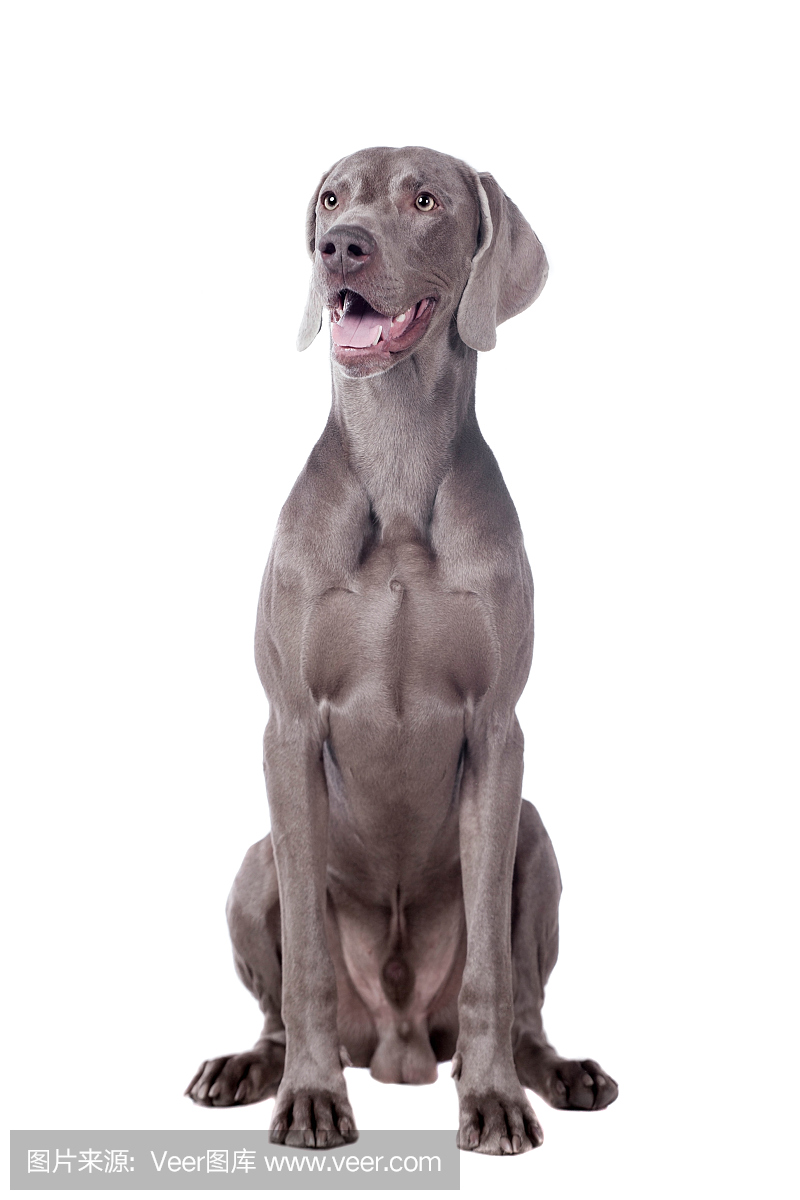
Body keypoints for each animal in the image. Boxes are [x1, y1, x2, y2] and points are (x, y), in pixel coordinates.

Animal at [186, 146, 618, 1154]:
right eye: (332, 197)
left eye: (425, 200)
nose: (340, 246)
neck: (397, 462)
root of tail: (396, 1041)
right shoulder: (289, 728)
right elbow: (304, 957)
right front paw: (311, 1099)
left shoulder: (497, 731)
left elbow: (494, 967)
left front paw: (494, 1101)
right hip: (254, 863)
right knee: (277, 994)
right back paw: (253, 1068)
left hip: (536, 840)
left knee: (524, 1001)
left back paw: (552, 1073)